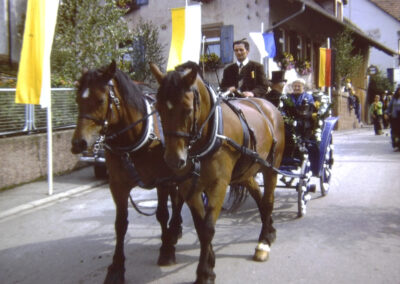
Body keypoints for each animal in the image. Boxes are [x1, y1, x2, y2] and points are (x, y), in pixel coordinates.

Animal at [71, 61, 184, 282]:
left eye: (101, 100)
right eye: (78, 99)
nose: (79, 143)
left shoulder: (162, 180)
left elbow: (162, 213)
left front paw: (166, 250)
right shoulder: (118, 186)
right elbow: (120, 225)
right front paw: (116, 267)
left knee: (179, 200)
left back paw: (174, 229)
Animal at [150, 62, 284, 284]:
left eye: (188, 110)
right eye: (158, 109)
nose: (173, 160)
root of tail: (269, 107)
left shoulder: (218, 185)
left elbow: (208, 228)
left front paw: (205, 272)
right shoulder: (190, 187)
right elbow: (201, 227)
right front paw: (209, 263)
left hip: (271, 167)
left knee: (268, 201)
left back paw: (264, 242)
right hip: (247, 171)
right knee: (259, 198)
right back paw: (270, 230)